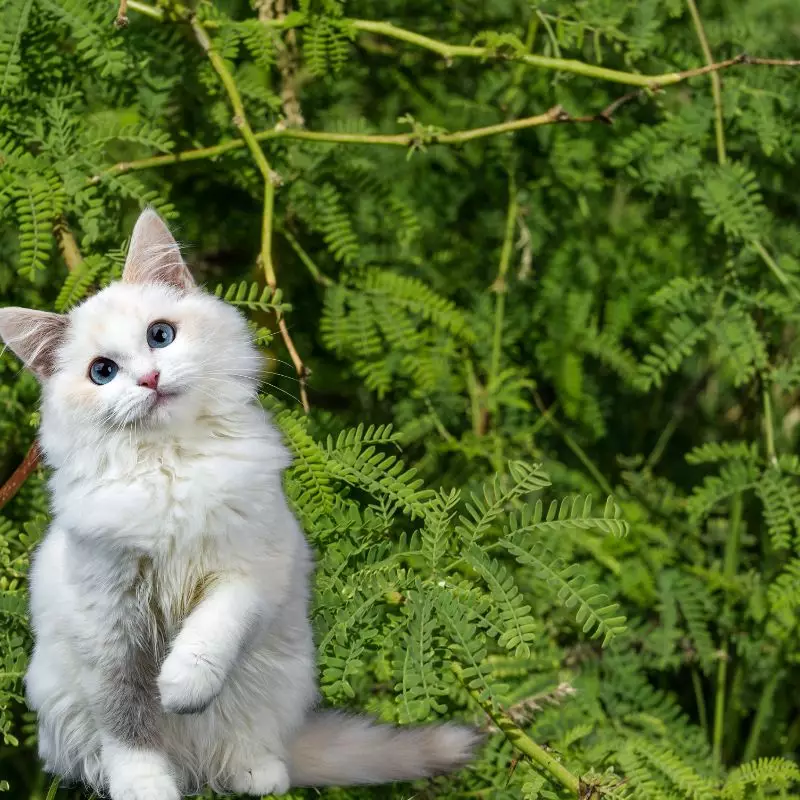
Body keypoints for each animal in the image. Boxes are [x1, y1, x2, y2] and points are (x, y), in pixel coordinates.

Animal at [0, 211, 476, 800]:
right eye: (103, 372)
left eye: (161, 335)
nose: (150, 379)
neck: (172, 466)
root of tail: (197, 769)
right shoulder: (108, 627)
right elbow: (128, 724)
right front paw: (146, 786)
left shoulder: (251, 569)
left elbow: (212, 631)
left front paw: (181, 687)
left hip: (275, 681)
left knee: (253, 750)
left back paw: (256, 771)